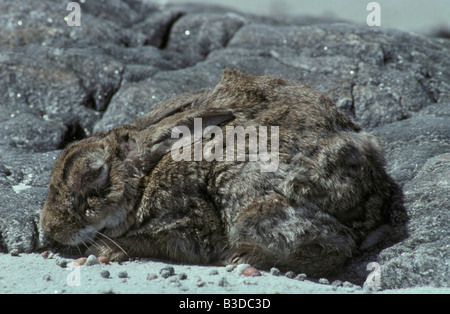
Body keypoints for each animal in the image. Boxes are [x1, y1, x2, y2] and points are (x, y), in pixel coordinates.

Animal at [40, 69, 406, 278]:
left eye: (92, 175)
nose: (50, 228)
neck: (146, 179)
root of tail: (372, 206)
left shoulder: (187, 221)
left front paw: (105, 250)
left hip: (248, 198)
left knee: (334, 247)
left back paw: (242, 256)